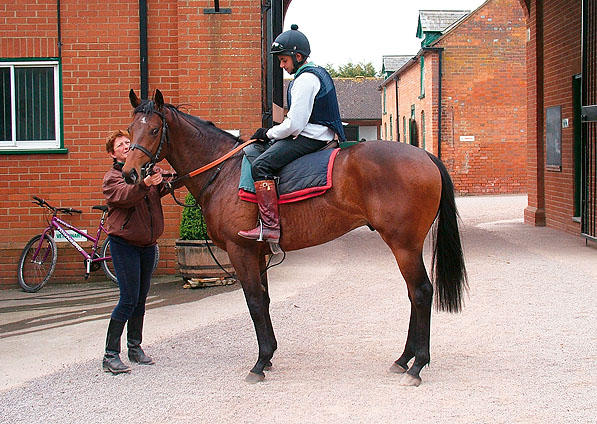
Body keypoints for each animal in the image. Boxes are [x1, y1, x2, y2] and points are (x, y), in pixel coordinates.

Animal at [121, 89, 466, 388]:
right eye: (129, 129)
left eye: (154, 130)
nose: (130, 173)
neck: (224, 172)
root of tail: (425, 156)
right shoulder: (258, 253)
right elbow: (264, 300)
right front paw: (270, 354)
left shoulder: (240, 251)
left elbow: (254, 301)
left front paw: (260, 362)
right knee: (413, 294)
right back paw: (404, 358)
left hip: (404, 245)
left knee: (421, 293)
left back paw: (418, 364)